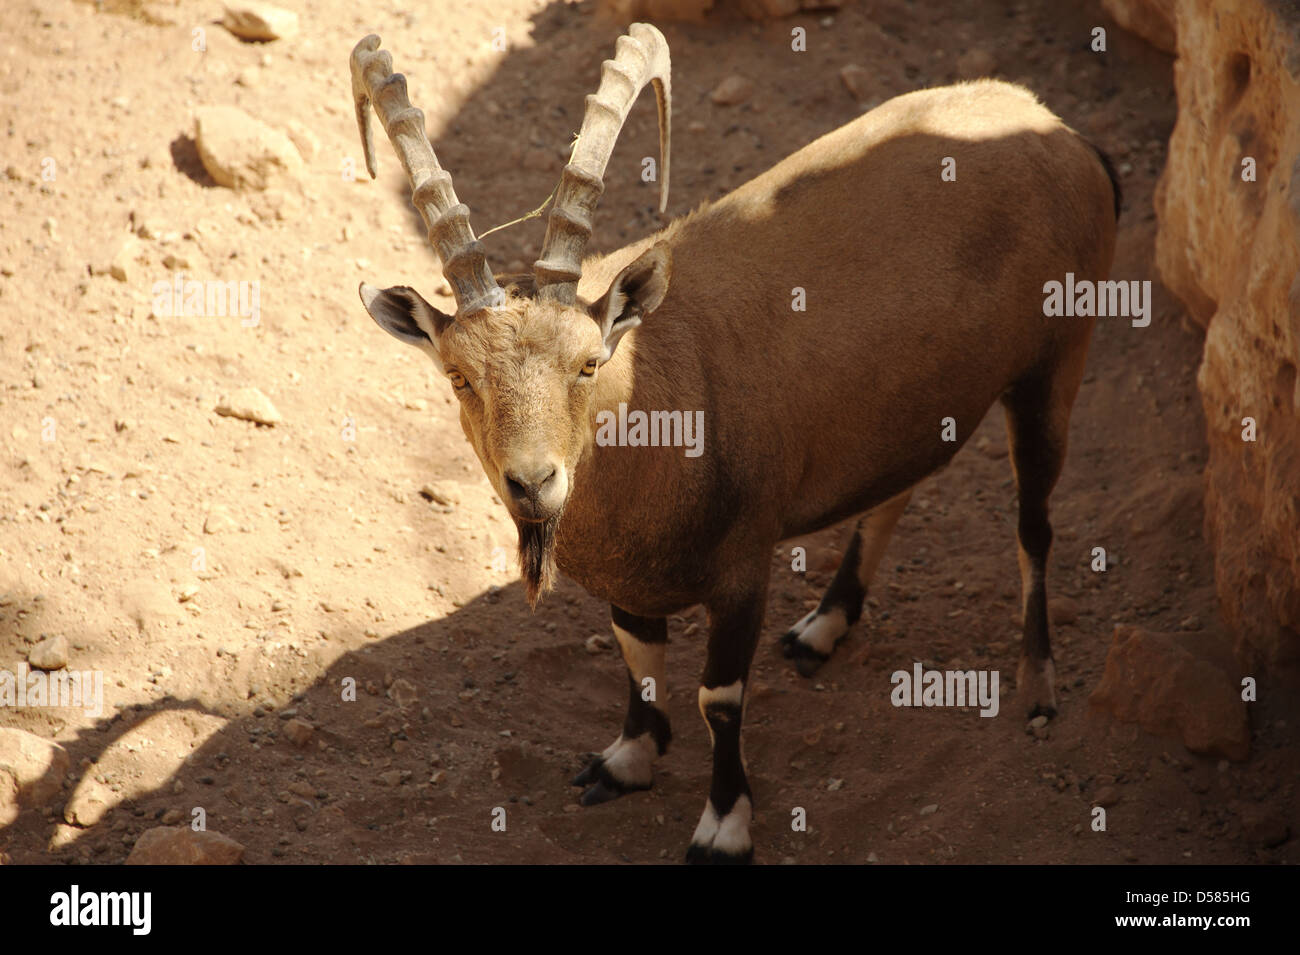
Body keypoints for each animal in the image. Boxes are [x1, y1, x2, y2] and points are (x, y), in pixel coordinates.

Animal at [351, 22, 1123, 862]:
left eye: (588, 363)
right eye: (460, 376)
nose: (534, 483)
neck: (660, 396)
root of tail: (1063, 133)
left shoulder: (742, 566)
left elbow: (718, 696)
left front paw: (724, 825)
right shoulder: (630, 579)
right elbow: (637, 654)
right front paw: (628, 759)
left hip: (1057, 361)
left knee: (1034, 523)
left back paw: (1038, 684)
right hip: (923, 397)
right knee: (901, 483)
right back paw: (825, 625)